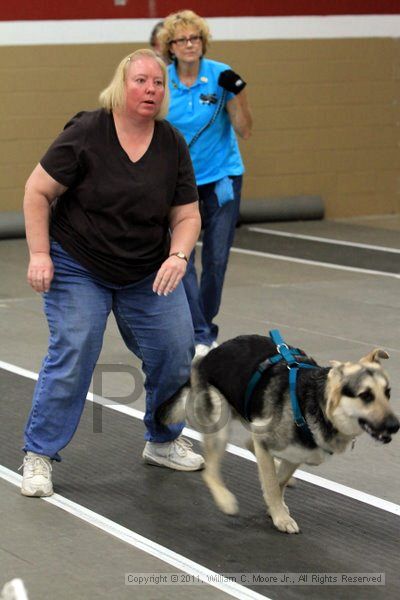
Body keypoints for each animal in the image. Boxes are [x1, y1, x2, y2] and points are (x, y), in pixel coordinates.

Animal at [160, 332, 400, 536]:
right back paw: (224, 498)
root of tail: (207, 356)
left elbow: (279, 481)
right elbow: (272, 484)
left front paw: (277, 503)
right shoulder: (266, 441)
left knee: (249, 443)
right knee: (211, 470)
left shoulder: (297, 453)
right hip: (220, 422)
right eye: (366, 396)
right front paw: (280, 516)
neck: (316, 403)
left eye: (387, 393)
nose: (395, 425)